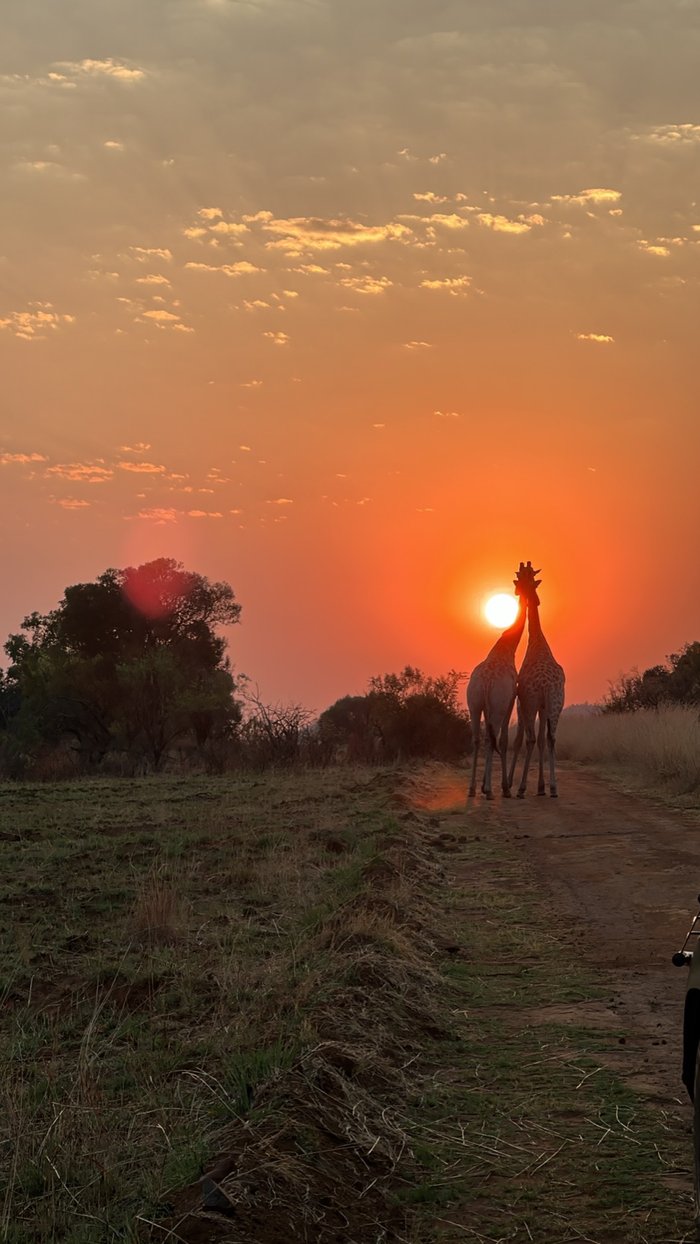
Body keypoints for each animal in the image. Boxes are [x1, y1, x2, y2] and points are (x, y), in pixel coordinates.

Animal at [466, 563, 529, 800]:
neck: (508, 647)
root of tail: (486, 684)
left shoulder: (484, 706)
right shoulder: (509, 700)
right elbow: (502, 740)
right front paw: (503, 787)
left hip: (474, 704)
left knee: (477, 738)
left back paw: (472, 789)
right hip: (497, 705)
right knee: (493, 739)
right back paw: (490, 790)